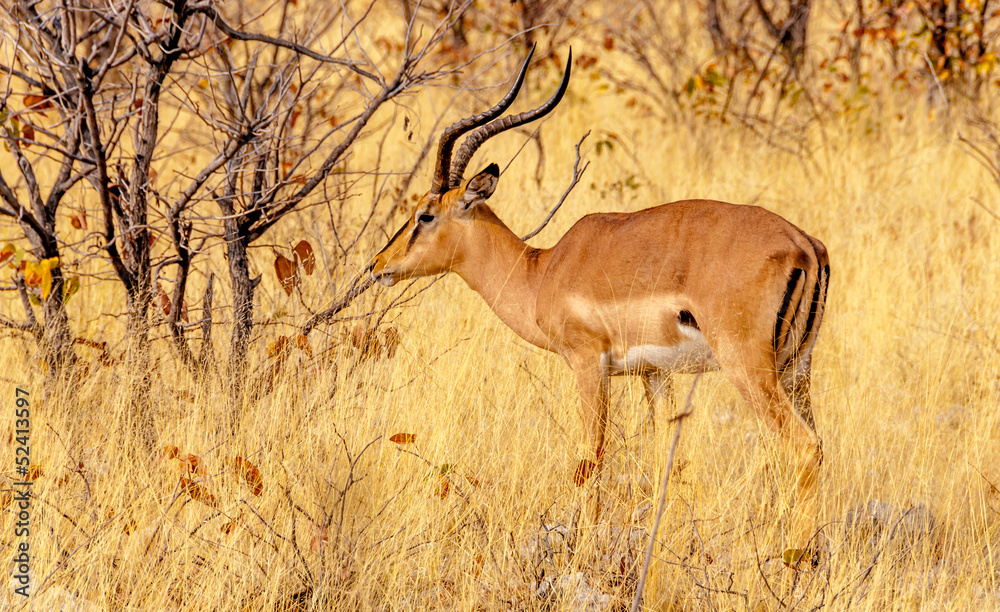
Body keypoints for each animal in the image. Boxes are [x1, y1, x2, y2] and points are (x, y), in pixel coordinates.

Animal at [369, 48, 830, 554]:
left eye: (425, 215)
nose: (377, 264)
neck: (543, 270)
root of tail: (804, 245)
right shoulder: (654, 374)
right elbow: (667, 463)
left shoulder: (588, 364)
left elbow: (591, 461)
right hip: (797, 370)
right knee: (821, 444)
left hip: (749, 368)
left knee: (804, 448)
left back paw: (795, 557)